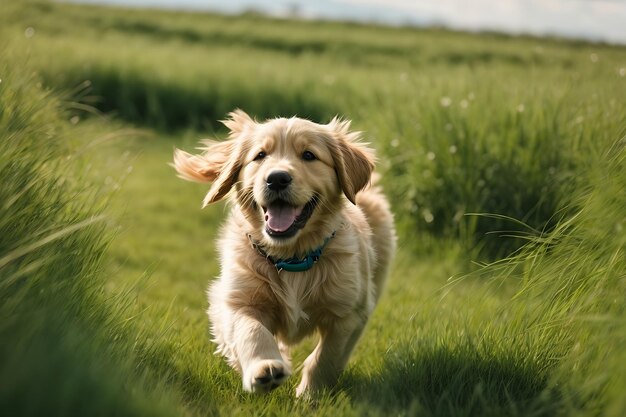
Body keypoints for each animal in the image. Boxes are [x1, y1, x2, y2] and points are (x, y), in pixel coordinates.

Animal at [171, 109, 394, 394]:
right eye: (260, 155)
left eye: (308, 155)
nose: (276, 178)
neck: (291, 257)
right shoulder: (238, 299)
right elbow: (252, 331)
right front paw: (264, 369)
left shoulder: (349, 311)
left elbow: (327, 356)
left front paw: (310, 394)